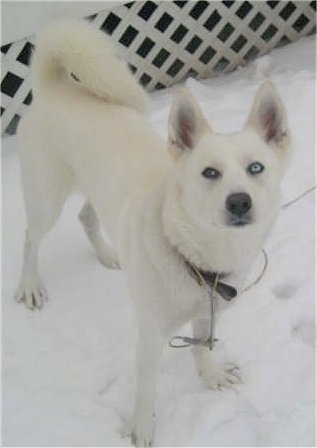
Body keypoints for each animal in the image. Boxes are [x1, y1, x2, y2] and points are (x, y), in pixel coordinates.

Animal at [16, 20, 290, 444]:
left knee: (86, 216)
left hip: (96, 188)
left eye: (256, 168)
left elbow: (202, 347)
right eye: (209, 172)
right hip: (47, 198)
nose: (240, 202)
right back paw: (30, 284)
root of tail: (57, 85)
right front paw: (142, 430)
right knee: (32, 237)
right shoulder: (150, 334)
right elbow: (146, 389)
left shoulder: (208, 313)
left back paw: (108, 254)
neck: (196, 258)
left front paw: (210, 375)